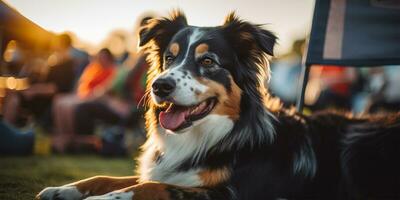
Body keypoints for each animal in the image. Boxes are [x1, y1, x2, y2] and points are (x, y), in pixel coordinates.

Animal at [36, 10, 400, 200]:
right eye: (170, 58)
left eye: (208, 61)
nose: (159, 86)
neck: (216, 137)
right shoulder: (181, 172)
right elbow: (111, 177)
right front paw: (63, 189)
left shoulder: (233, 193)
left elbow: (150, 186)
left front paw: (101, 199)